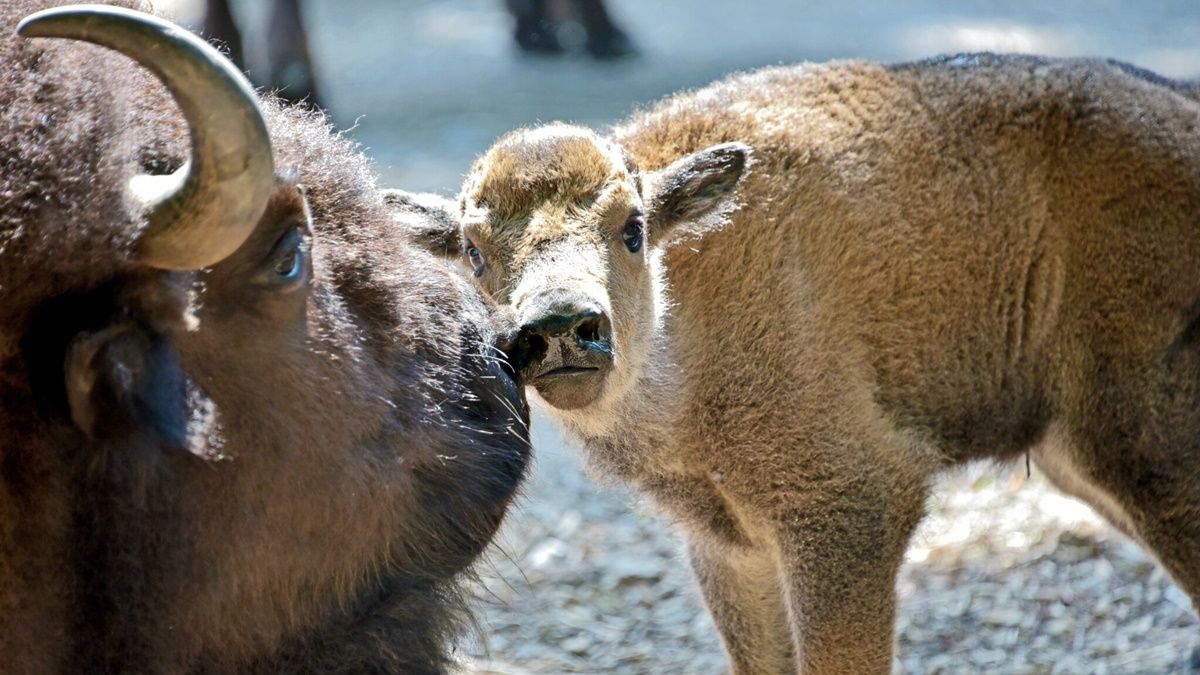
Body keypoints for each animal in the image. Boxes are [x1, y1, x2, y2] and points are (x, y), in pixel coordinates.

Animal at [412, 55, 1200, 667]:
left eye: (632, 228)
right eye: (474, 251)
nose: (561, 327)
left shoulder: (850, 508)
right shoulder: (730, 545)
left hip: (1144, 448)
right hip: (1078, 455)